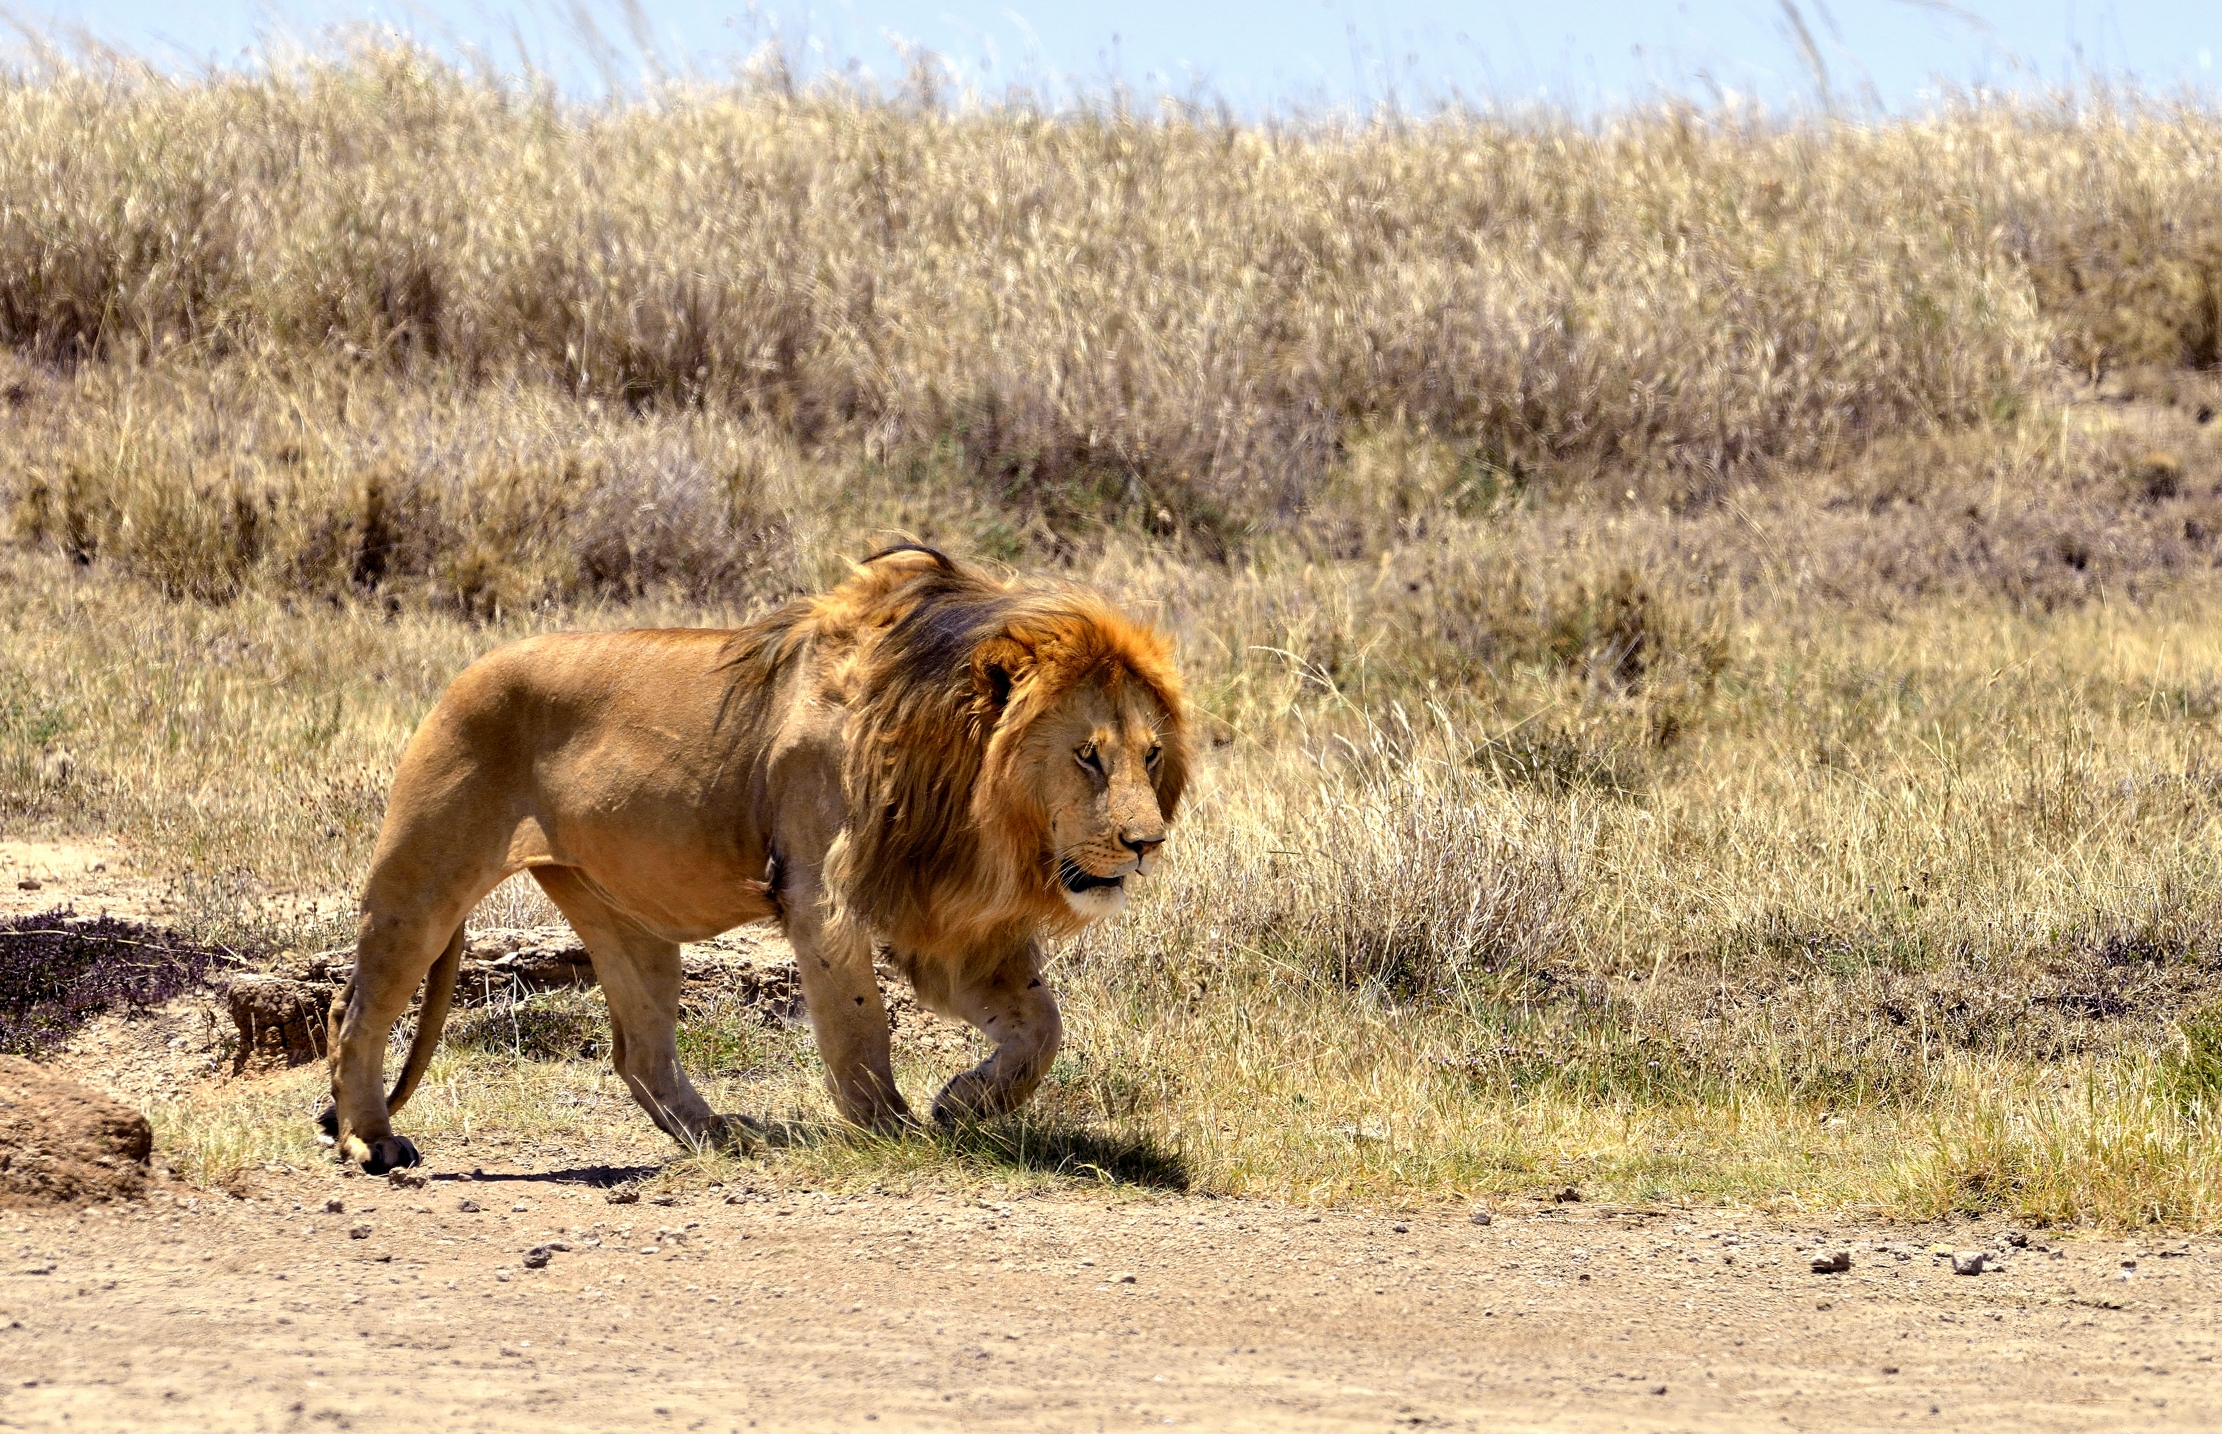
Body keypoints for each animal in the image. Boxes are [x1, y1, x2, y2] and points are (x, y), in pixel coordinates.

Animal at [321, 545, 1190, 1173]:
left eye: (1150, 757)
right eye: (1086, 756)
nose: (1147, 844)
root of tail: (459, 676)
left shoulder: (946, 920)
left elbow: (1040, 1028)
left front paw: (962, 1104)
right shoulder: (821, 896)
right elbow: (859, 1028)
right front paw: (891, 1129)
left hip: (627, 919)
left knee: (640, 1053)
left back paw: (721, 1138)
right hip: (422, 881)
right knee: (357, 1011)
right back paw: (373, 1140)